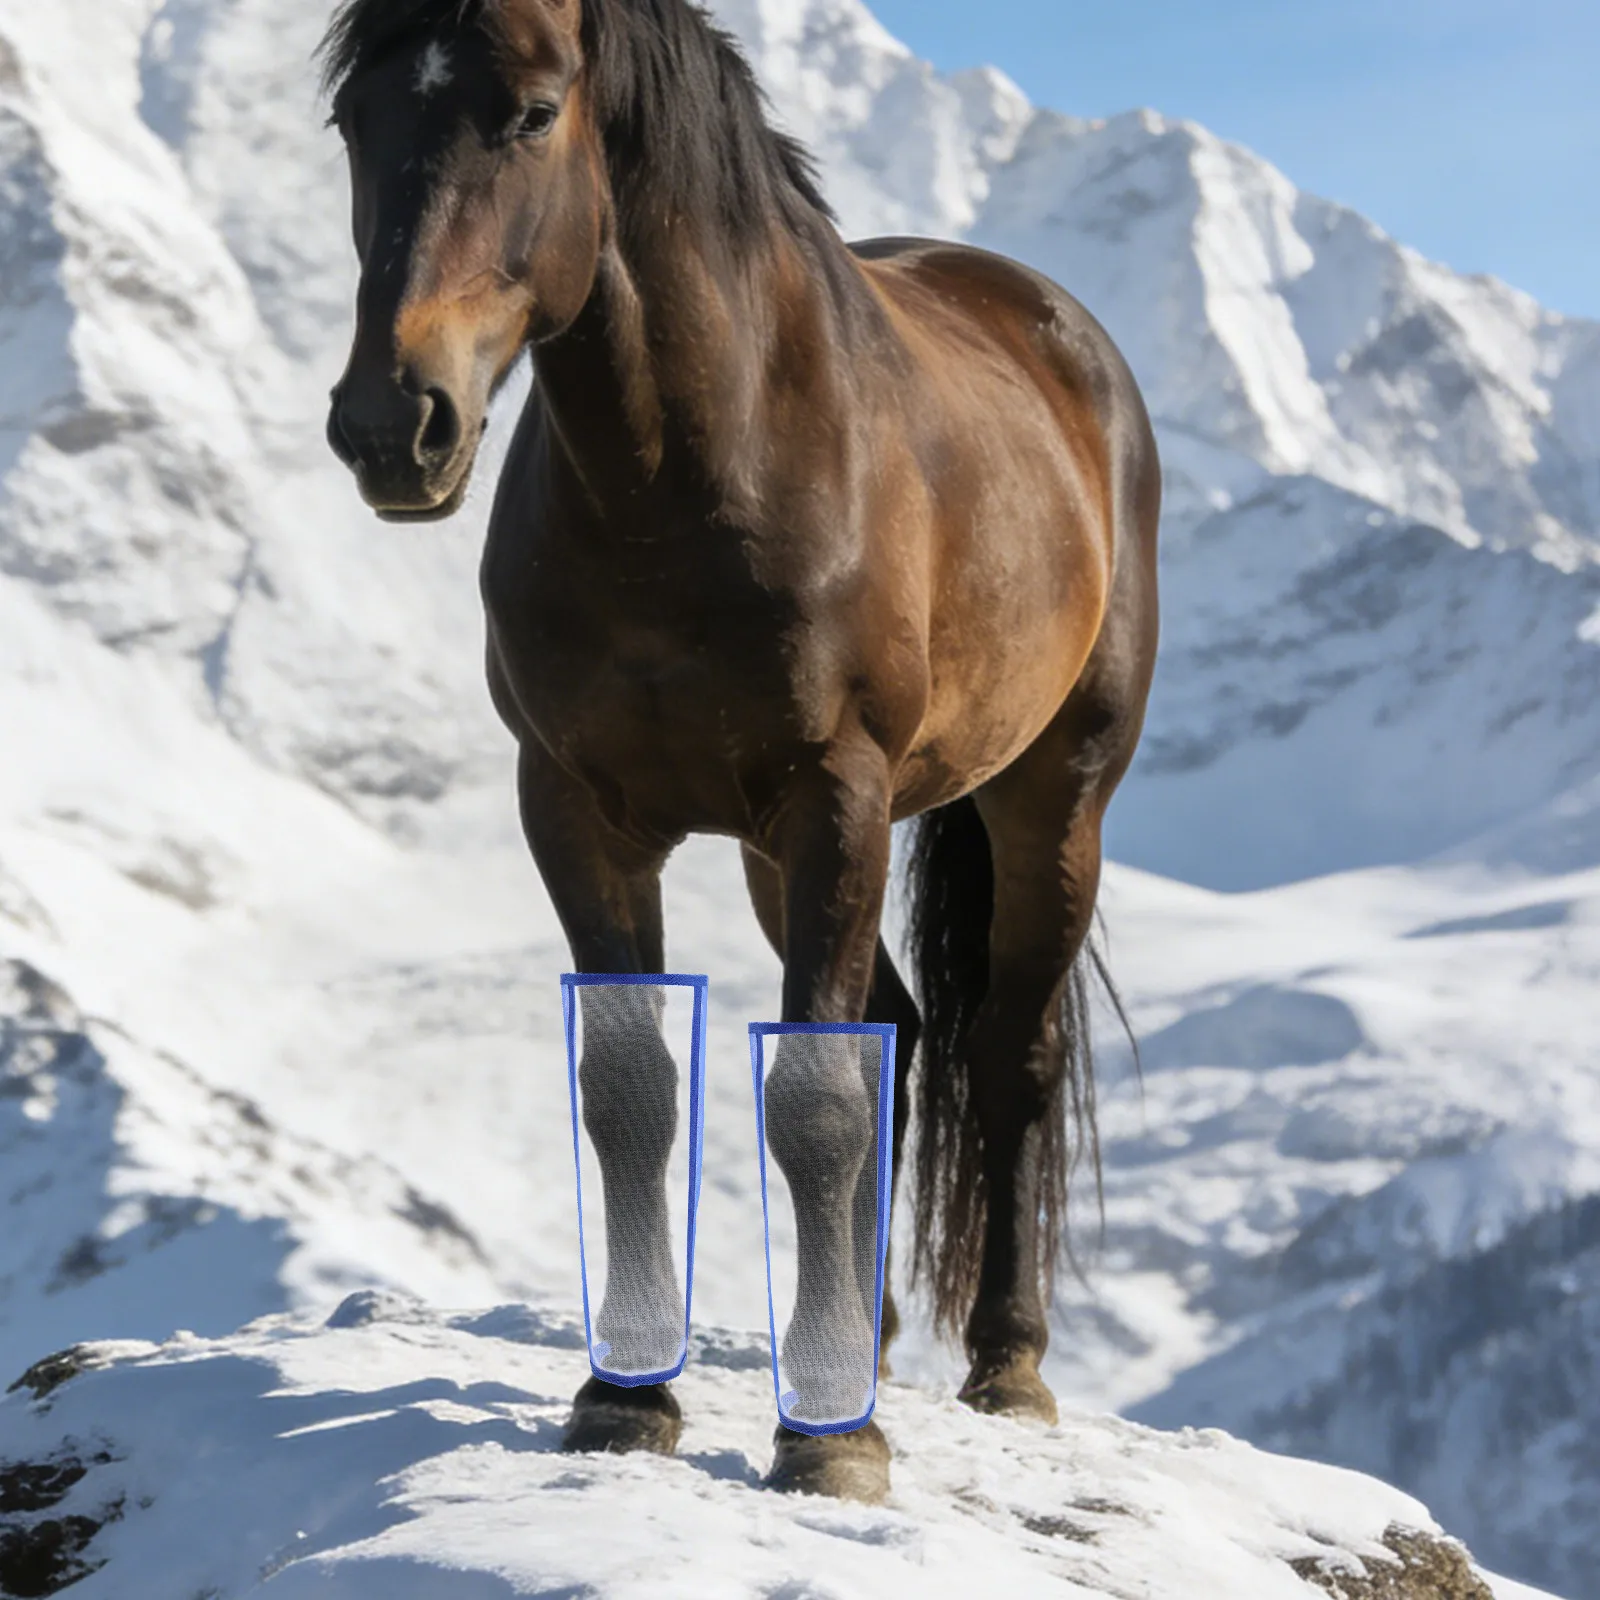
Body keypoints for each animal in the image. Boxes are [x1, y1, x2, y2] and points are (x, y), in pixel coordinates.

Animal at [320, 0, 1160, 1504]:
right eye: (354, 120)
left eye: (532, 114)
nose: (390, 424)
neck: (690, 478)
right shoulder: (575, 810)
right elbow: (632, 1091)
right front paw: (624, 1399)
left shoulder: (837, 796)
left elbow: (813, 1096)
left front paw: (830, 1447)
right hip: (785, 855)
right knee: (896, 1025)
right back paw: (851, 1338)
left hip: (1049, 799)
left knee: (1008, 1053)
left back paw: (1005, 1365)